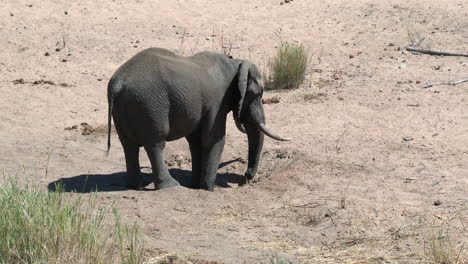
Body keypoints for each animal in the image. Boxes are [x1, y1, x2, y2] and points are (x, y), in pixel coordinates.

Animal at [107, 47, 288, 191]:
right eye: (258, 94)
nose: (247, 177)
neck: (235, 64)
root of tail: (117, 84)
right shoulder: (217, 100)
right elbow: (214, 139)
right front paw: (208, 189)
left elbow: (196, 142)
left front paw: (195, 186)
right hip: (150, 105)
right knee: (155, 143)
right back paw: (170, 186)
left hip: (126, 109)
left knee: (128, 146)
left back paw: (135, 185)